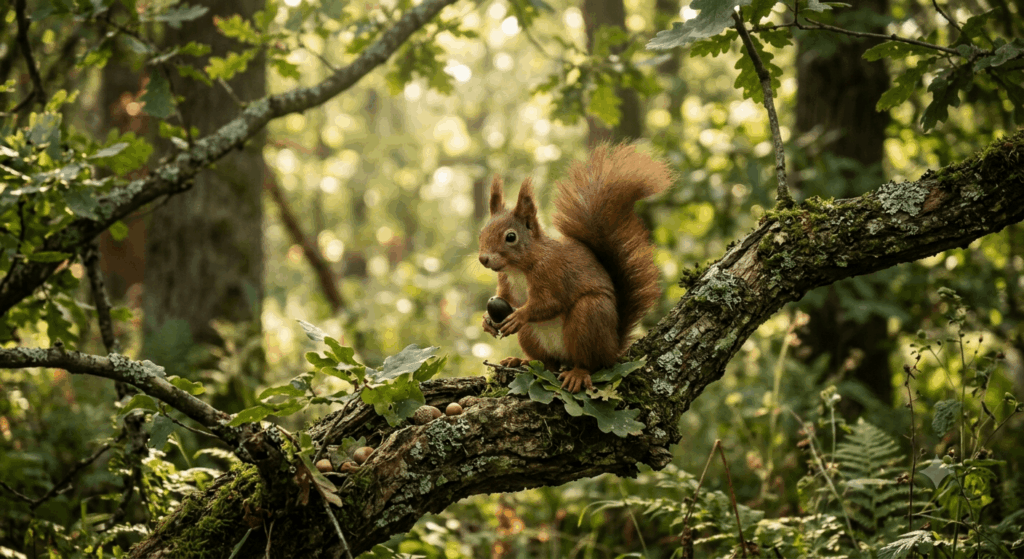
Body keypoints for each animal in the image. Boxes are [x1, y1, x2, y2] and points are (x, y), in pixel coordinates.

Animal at [478, 143, 672, 392]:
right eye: (482, 233)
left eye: (510, 237)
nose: (483, 259)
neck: (518, 268)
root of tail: (612, 348)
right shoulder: (506, 281)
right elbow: (505, 298)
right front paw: (487, 320)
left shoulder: (552, 272)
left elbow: (549, 303)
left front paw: (520, 315)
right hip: (531, 336)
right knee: (547, 363)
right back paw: (521, 361)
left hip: (589, 316)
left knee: (589, 362)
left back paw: (578, 373)